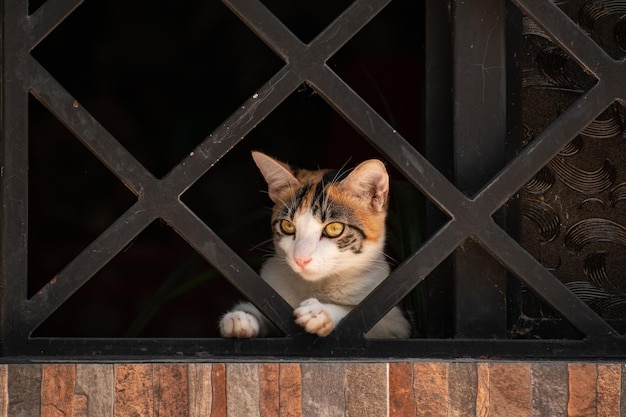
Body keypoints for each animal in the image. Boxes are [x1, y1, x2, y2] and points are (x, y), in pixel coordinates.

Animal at [217, 150, 412, 338]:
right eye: (287, 226)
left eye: (334, 228)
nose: (301, 259)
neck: (317, 285)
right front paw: (241, 316)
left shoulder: (397, 322)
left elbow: (361, 319)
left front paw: (320, 311)